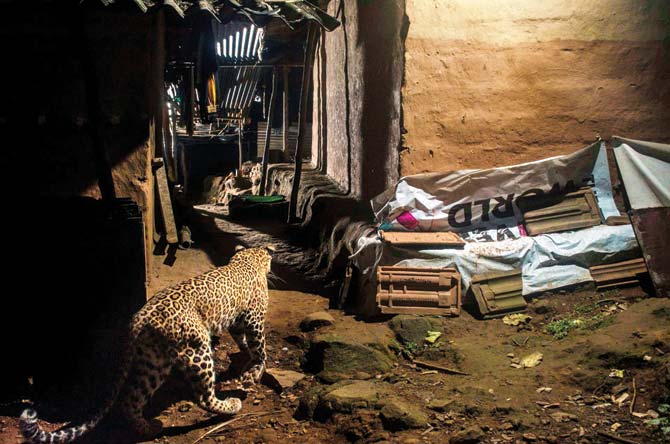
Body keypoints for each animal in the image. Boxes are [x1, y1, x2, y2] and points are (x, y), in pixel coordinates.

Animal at [21, 245, 272, 442]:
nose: (270, 261)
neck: (247, 259)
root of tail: (138, 320)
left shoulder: (238, 321)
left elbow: (242, 340)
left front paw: (246, 358)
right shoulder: (254, 318)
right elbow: (260, 348)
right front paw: (254, 371)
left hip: (153, 363)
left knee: (130, 401)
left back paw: (150, 428)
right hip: (197, 350)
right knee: (202, 397)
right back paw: (231, 405)